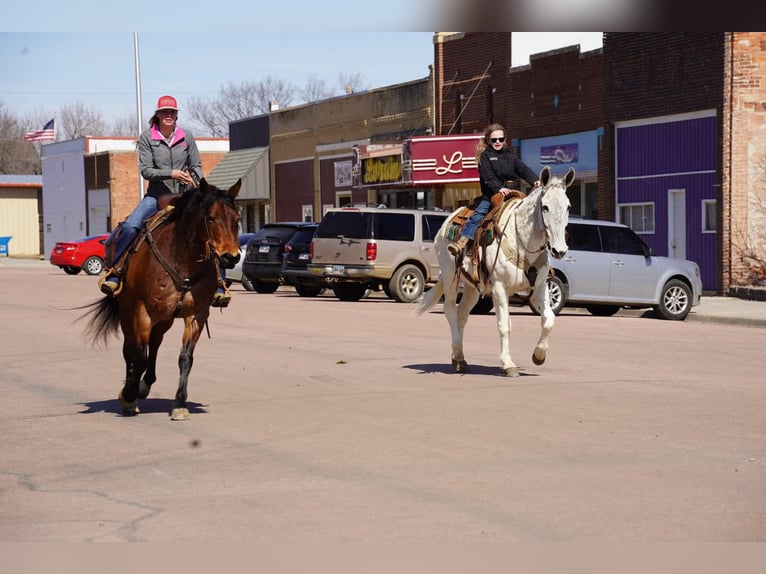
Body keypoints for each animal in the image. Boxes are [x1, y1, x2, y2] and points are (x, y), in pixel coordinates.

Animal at [83, 178, 242, 420]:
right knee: (130, 349)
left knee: (154, 344)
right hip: (128, 312)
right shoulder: (142, 311)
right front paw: (128, 396)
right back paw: (131, 390)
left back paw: (145, 384)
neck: (182, 260)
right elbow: (139, 356)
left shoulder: (197, 314)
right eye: (211, 217)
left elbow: (185, 358)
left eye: (237, 220)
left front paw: (180, 404)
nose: (230, 257)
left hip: (164, 318)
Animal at [416, 166, 572, 378]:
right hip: (450, 277)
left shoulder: (539, 287)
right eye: (545, 207)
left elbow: (548, 319)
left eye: (568, 207)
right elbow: (504, 326)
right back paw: (457, 353)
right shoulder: (499, 287)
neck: (522, 241)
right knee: (450, 310)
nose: (559, 250)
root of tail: (447, 220)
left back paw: (459, 359)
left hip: (472, 288)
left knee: (462, 314)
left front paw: (539, 355)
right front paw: (508, 364)